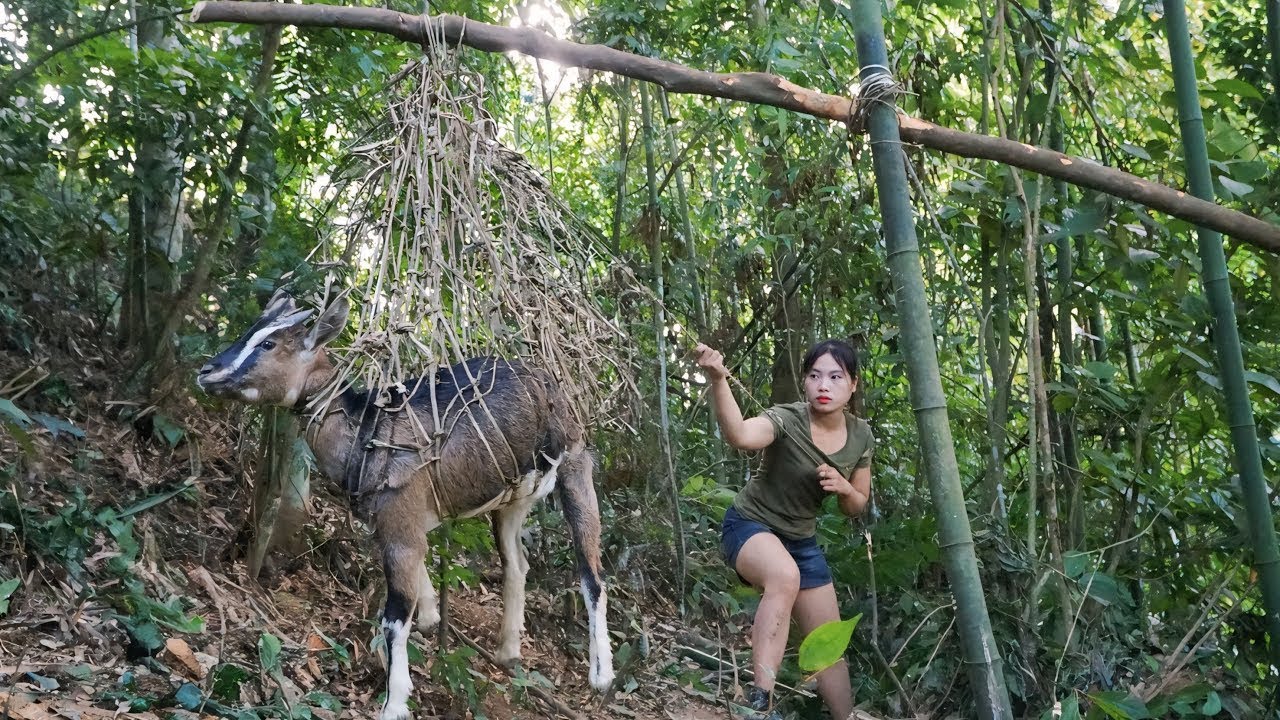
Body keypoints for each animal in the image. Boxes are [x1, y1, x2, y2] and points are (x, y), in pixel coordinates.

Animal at [196, 290, 614, 720]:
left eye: (269, 343)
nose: (208, 370)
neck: (367, 430)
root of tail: (547, 381)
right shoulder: (394, 522)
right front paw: (430, 615)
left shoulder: (401, 522)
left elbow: (395, 618)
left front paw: (395, 702)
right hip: (511, 499)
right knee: (516, 562)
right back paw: (507, 650)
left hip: (575, 461)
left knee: (592, 574)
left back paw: (601, 675)